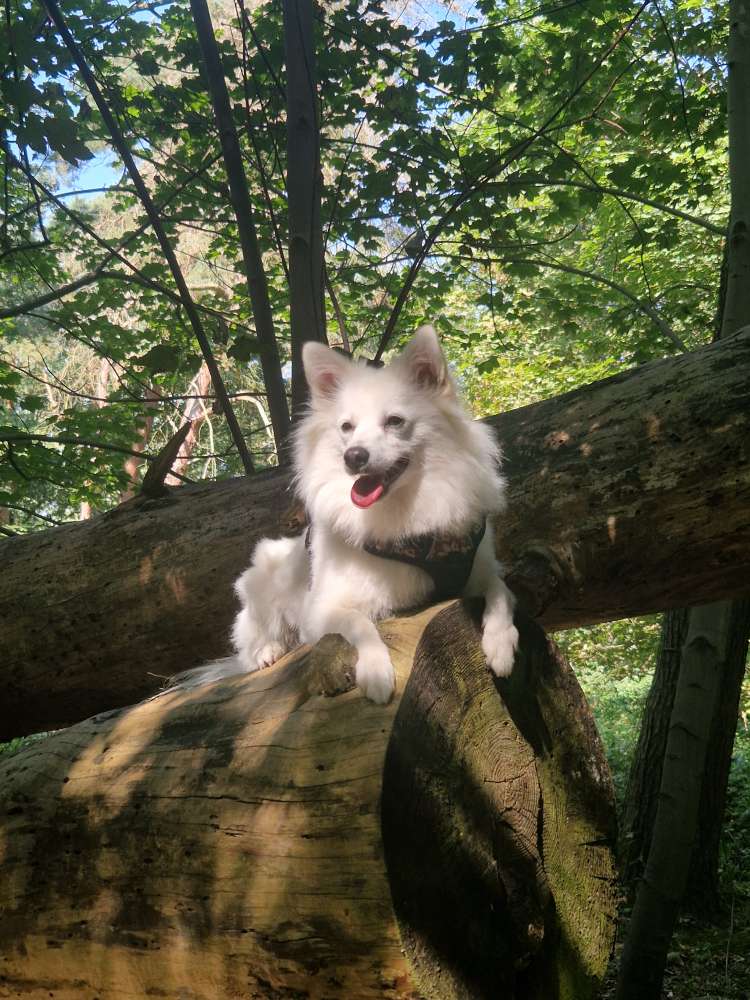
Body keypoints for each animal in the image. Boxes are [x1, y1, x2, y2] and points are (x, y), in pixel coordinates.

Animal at [229, 324, 520, 700]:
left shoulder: (480, 571)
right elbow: (361, 624)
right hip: (262, 584)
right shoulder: (321, 610)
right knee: (249, 640)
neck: (405, 510)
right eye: (346, 427)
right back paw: (267, 651)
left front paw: (500, 645)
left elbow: (501, 593)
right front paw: (376, 672)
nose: (353, 456)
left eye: (395, 422)